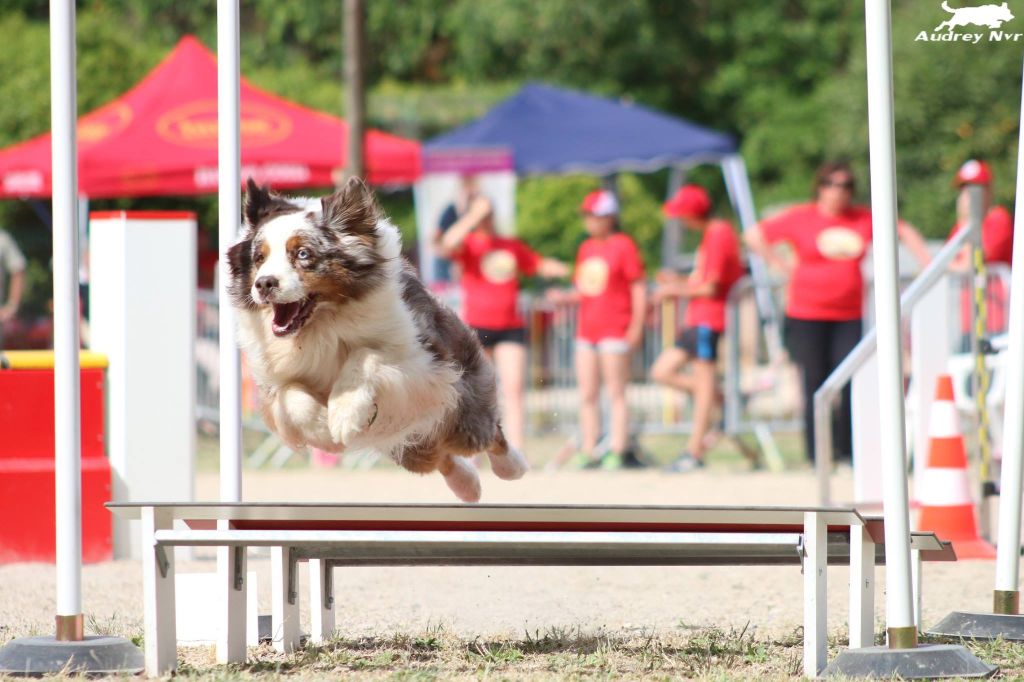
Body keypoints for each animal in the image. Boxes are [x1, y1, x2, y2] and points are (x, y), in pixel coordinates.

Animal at [225, 180, 528, 499]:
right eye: (259, 258)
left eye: (303, 254)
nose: (264, 284)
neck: (322, 325)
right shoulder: (274, 381)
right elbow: (290, 394)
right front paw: (323, 430)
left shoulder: (424, 360)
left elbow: (366, 354)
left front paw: (344, 415)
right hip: (410, 442)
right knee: (440, 458)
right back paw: (467, 487)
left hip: (458, 404)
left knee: (487, 435)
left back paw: (512, 467)